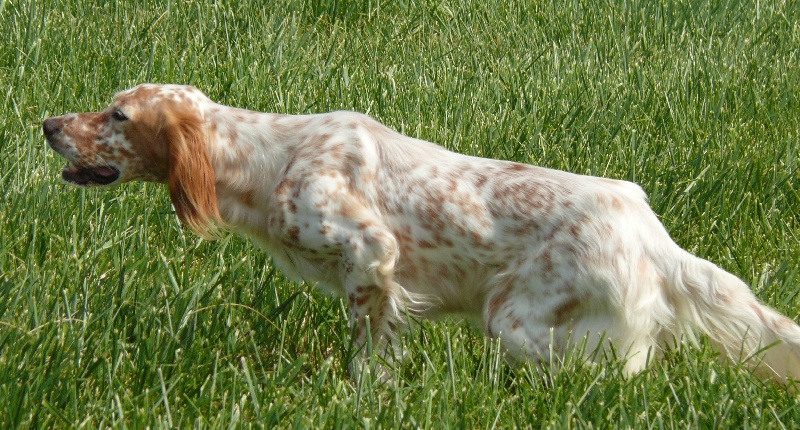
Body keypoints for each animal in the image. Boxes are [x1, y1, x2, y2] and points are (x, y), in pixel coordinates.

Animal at [45, 85, 800, 382]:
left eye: (116, 115)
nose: (48, 124)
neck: (268, 158)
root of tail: (648, 228)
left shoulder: (369, 254)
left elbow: (367, 350)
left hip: (515, 321)